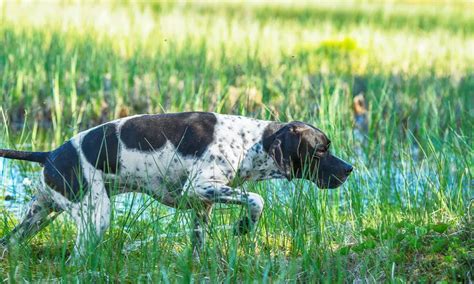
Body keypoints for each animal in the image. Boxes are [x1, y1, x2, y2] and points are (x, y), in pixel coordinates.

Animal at [0, 112, 352, 258]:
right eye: (322, 150)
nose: (349, 169)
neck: (248, 142)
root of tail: (48, 155)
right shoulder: (197, 189)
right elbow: (255, 199)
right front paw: (243, 226)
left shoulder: (202, 206)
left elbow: (198, 244)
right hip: (95, 217)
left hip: (38, 215)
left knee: (9, 243)